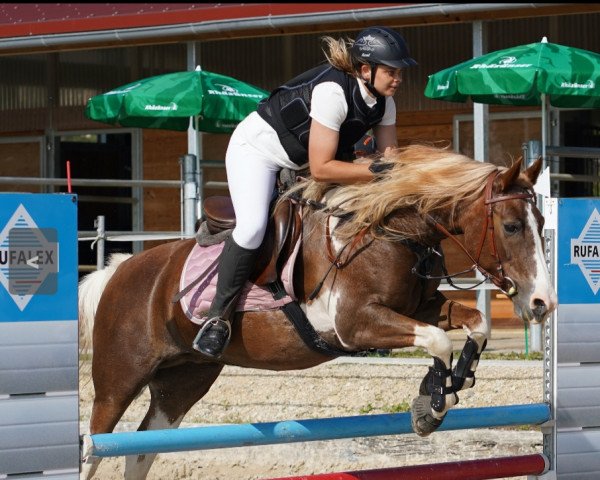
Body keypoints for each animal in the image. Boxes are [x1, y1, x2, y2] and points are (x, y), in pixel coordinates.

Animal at [78, 143, 556, 480]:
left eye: (540, 224)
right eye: (511, 226)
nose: (542, 304)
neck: (392, 230)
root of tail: (119, 270)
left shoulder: (422, 307)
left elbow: (475, 324)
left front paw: (454, 382)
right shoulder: (356, 325)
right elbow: (437, 340)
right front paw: (432, 405)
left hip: (183, 380)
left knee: (141, 450)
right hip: (119, 379)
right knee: (93, 447)